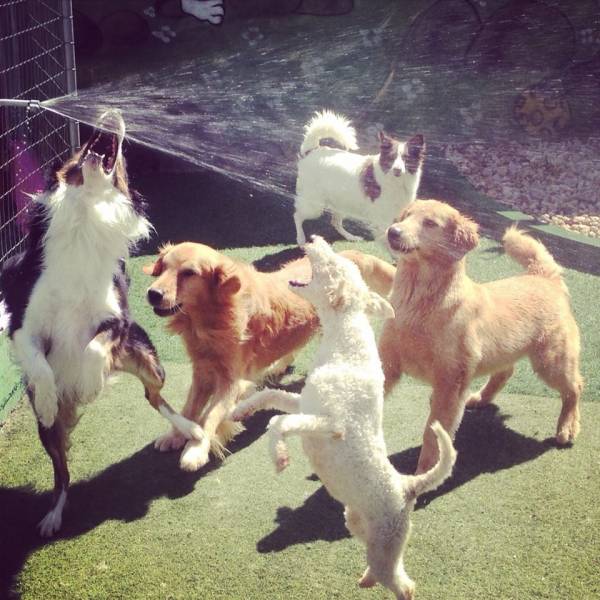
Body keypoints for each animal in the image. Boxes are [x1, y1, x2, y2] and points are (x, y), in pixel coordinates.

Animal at [0, 110, 203, 536]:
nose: (112, 112)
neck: (87, 211)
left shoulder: (116, 319)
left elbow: (93, 348)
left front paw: (91, 384)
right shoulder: (23, 322)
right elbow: (41, 367)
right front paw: (49, 399)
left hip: (151, 364)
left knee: (156, 398)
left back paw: (191, 431)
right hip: (46, 434)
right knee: (61, 474)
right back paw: (54, 514)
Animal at [144, 241, 318, 472]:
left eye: (189, 273)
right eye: (163, 267)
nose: (153, 293)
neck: (210, 319)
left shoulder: (231, 382)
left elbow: (210, 415)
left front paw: (196, 449)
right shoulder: (202, 371)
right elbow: (189, 408)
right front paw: (176, 434)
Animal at [233, 237, 454, 596]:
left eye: (336, 264)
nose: (314, 239)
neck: (345, 342)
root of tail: (407, 486)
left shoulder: (329, 424)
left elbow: (277, 423)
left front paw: (279, 457)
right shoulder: (304, 405)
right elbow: (269, 398)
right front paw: (239, 410)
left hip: (384, 543)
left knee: (403, 587)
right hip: (361, 526)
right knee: (390, 570)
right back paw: (366, 579)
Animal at [292, 110, 424, 244]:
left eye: (406, 158)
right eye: (391, 158)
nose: (397, 170)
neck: (396, 180)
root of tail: (313, 150)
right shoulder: (381, 217)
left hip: (341, 202)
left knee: (335, 222)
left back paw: (351, 237)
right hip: (314, 205)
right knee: (297, 216)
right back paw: (301, 238)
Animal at [352, 200, 580, 474]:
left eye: (430, 223)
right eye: (406, 216)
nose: (393, 232)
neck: (421, 304)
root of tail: (545, 277)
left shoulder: (451, 382)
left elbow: (433, 434)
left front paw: (426, 474)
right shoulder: (389, 363)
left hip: (550, 362)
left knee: (574, 388)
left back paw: (567, 427)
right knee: (505, 372)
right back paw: (481, 398)